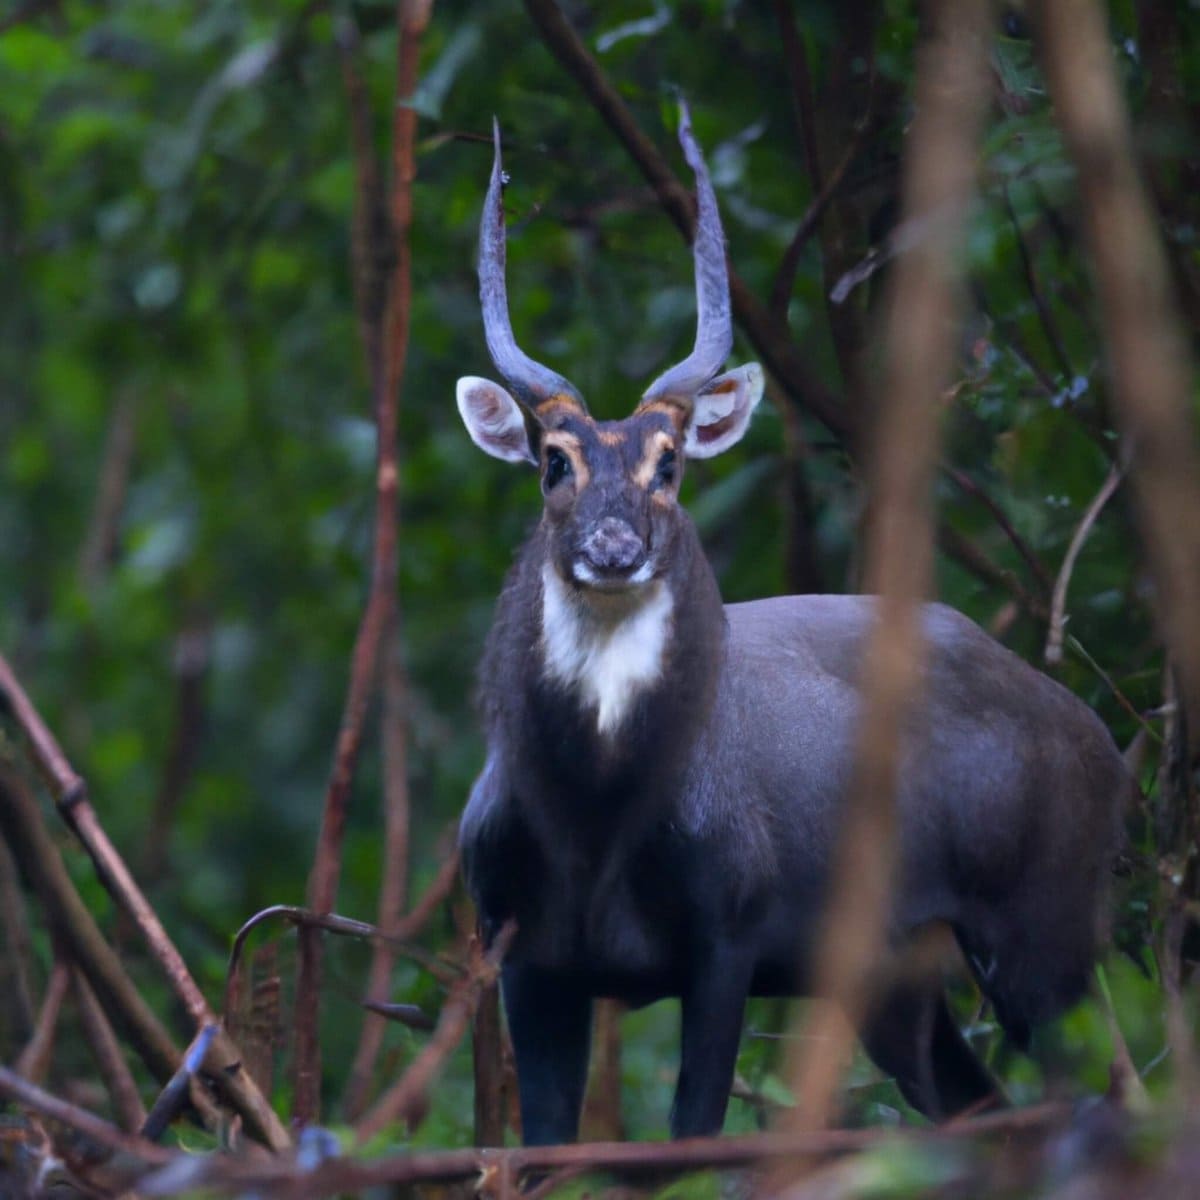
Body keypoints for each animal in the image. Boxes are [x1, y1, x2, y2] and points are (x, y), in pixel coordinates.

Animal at [453, 112, 1128, 1142]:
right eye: (554, 461)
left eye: (668, 462)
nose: (614, 548)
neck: (596, 823)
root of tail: (1103, 742)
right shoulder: (522, 948)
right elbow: (540, 1148)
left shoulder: (730, 928)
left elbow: (692, 1136)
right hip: (903, 975)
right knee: (978, 1103)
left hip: (1042, 925)